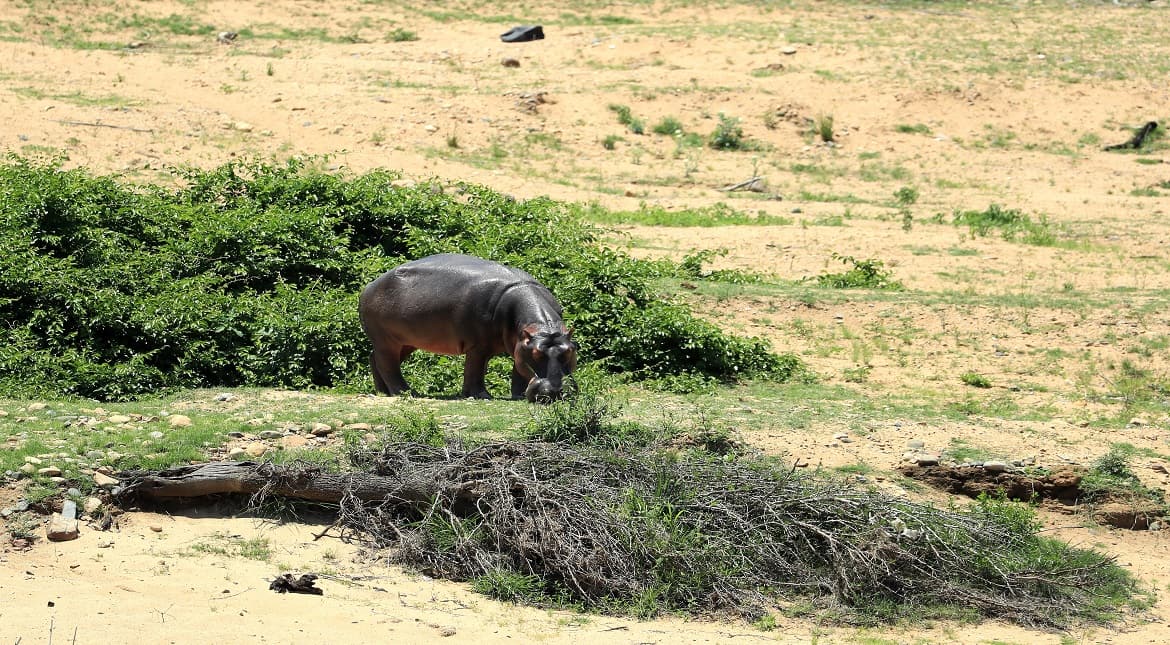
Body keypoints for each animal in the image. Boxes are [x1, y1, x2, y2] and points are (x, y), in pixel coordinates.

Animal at [358, 254, 577, 402]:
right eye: (536, 354)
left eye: (569, 351)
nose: (555, 391)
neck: (541, 328)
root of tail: (368, 287)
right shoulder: (479, 345)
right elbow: (475, 370)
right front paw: (481, 395)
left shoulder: (520, 344)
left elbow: (519, 369)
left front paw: (518, 395)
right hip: (387, 340)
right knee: (387, 364)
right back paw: (406, 392)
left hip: (405, 342)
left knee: (374, 359)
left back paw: (382, 392)